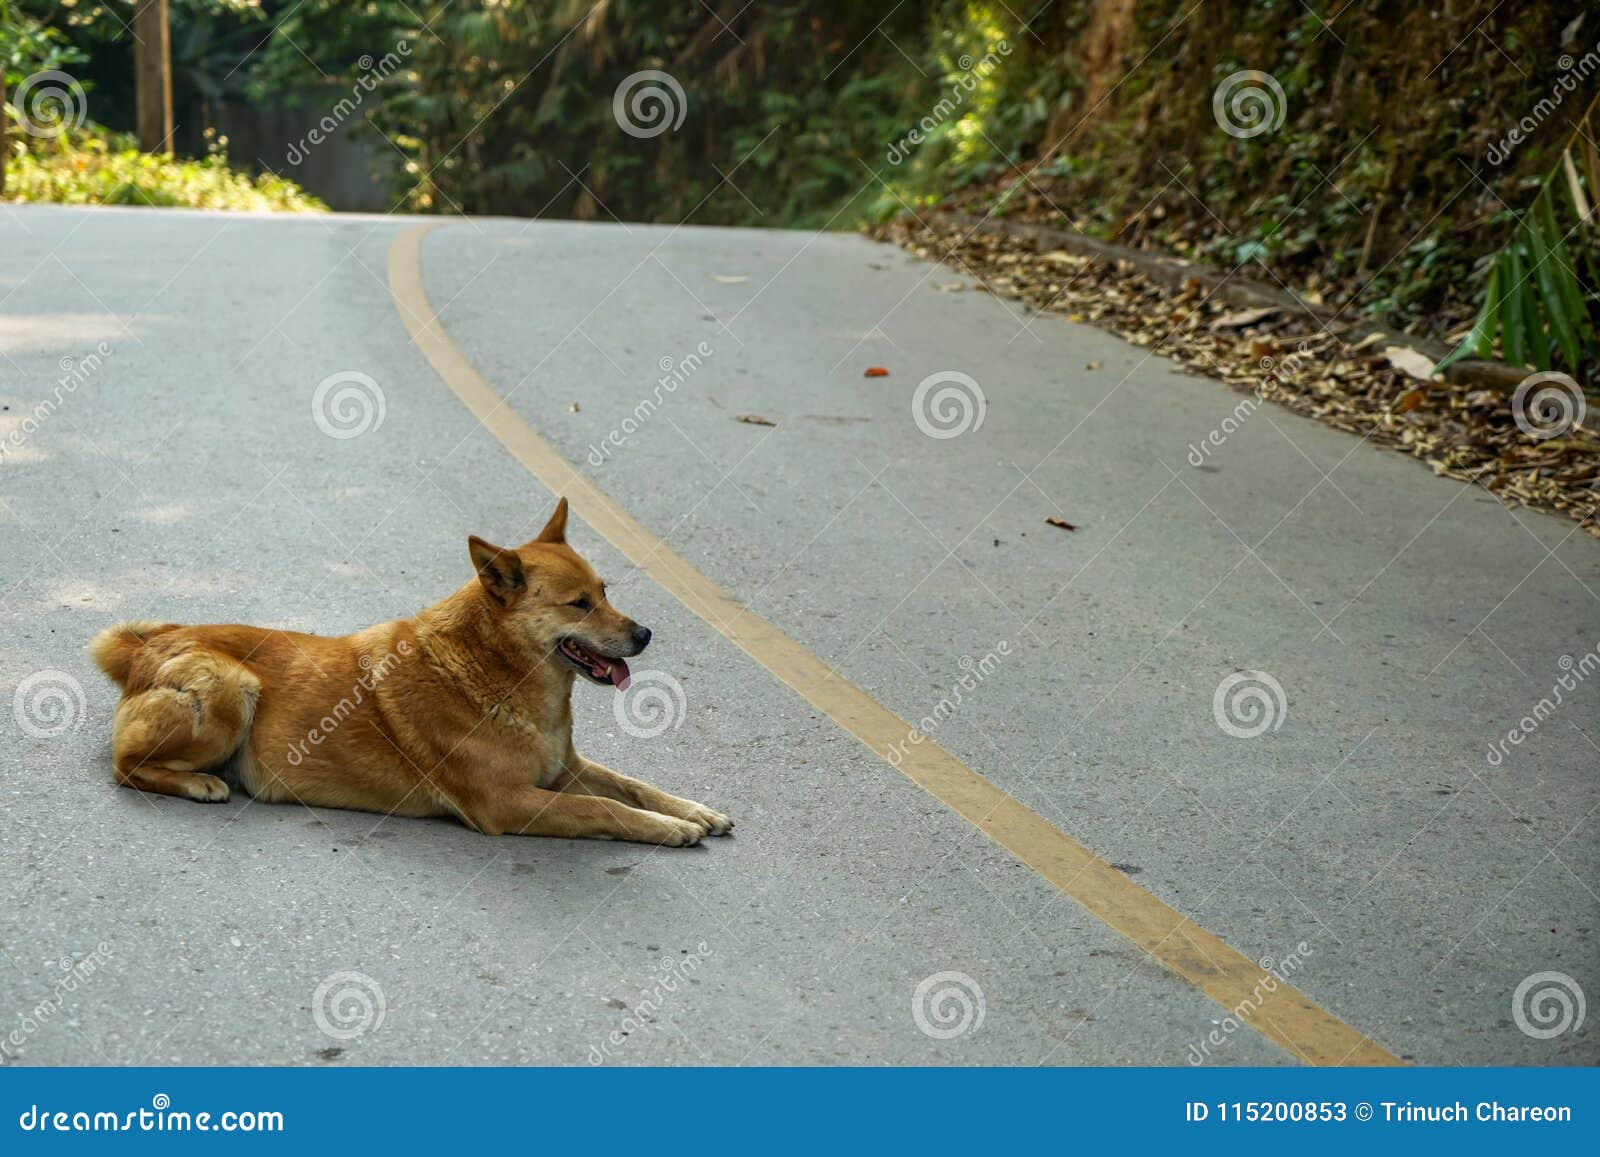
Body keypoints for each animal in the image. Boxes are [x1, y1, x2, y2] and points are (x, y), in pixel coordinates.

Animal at [90, 496, 729, 844]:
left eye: (605, 593)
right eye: (579, 604)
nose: (645, 635)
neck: (497, 674)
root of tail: (147, 644)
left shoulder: (563, 769)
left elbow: (632, 786)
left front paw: (691, 810)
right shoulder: (508, 803)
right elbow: (604, 808)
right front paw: (668, 830)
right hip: (233, 688)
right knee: (125, 767)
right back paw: (195, 782)